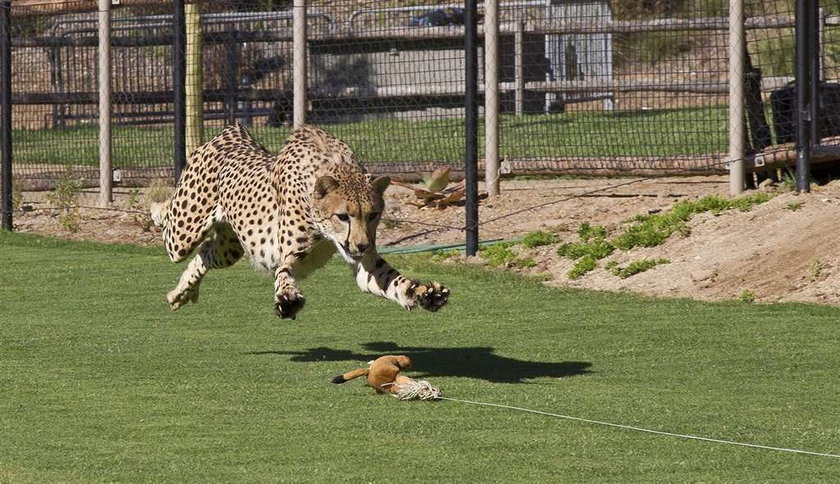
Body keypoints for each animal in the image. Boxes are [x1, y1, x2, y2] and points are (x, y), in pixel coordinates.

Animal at [153, 123, 450, 320]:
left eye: (373, 215)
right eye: (343, 216)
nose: (362, 245)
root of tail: (233, 131)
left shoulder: (363, 264)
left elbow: (393, 280)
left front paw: (425, 293)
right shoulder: (292, 253)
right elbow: (284, 273)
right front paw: (288, 299)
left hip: (231, 248)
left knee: (205, 253)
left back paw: (181, 293)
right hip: (182, 235)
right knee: (171, 224)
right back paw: (157, 208)